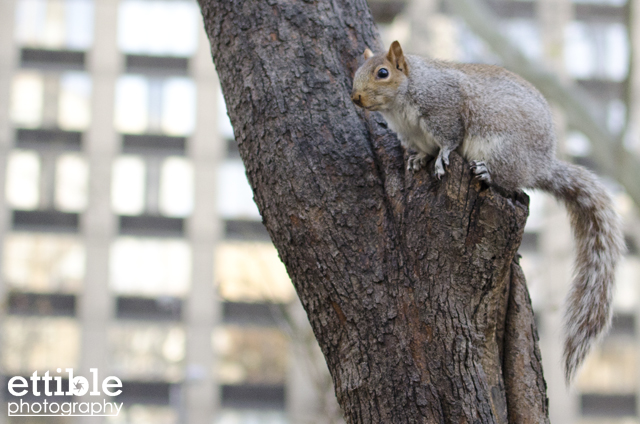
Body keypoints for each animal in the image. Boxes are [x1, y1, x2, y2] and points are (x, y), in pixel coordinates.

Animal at [350, 40, 624, 384]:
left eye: (383, 73)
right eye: (357, 71)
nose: (356, 98)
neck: (402, 104)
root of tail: (541, 166)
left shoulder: (445, 108)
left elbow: (449, 140)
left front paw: (441, 158)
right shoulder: (413, 135)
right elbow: (424, 151)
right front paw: (418, 161)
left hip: (502, 148)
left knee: (510, 184)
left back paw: (486, 173)